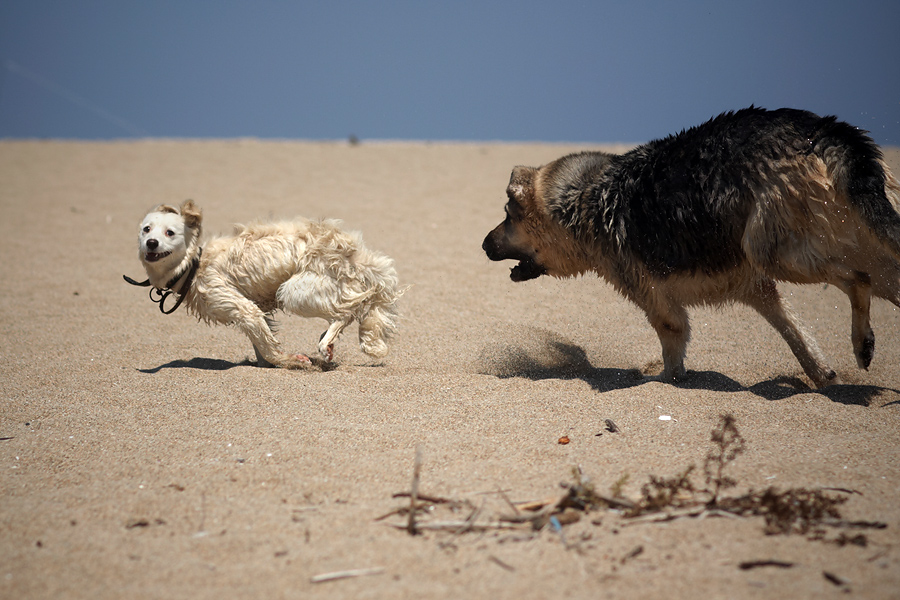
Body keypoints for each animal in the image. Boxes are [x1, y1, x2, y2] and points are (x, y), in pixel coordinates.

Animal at [126, 200, 404, 366]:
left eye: (170, 233)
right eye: (146, 229)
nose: (151, 243)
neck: (193, 266)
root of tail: (354, 255)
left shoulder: (241, 307)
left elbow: (269, 348)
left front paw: (291, 361)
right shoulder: (254, 311)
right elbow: (262, 343)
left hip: (293, 291)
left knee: (345, 313)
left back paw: (326, 346)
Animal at [486, 106, 900, 390]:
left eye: (507, 214)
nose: (483, 244)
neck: (590, 195)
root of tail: (827, 130)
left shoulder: (657, 301)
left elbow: (672, 344)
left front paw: (666, 382)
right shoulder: (757, 289)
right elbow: (796, 334)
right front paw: (824, 378)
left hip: (777, 252)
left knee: (857, 279)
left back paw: (861, 342)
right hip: (864, 247)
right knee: (874, 278)